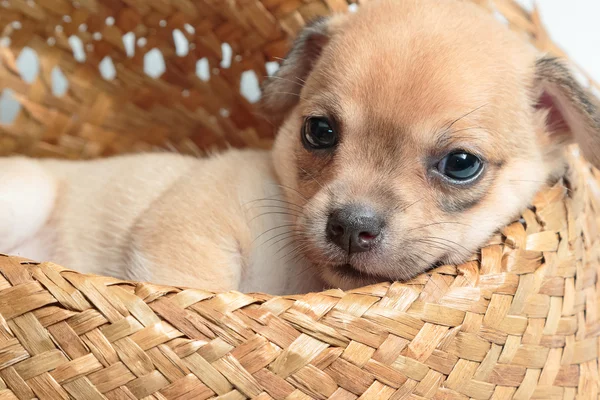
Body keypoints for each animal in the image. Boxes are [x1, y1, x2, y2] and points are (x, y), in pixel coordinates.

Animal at [1, 0, 600, 294]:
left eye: (460, 164)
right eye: (320, 131)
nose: (351, 226)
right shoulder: (187, 231)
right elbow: (198, 294)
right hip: (26, 194)